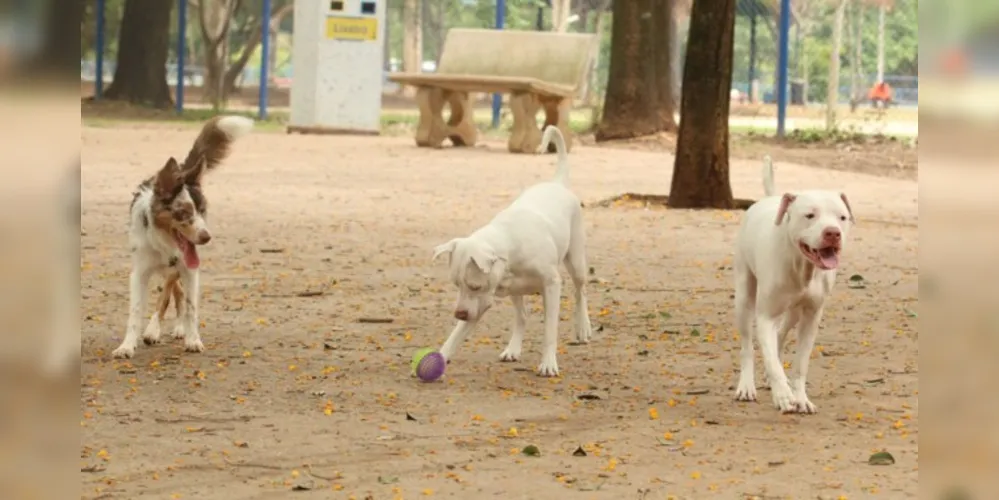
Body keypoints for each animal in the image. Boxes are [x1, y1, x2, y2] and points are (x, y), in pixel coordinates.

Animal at [112, 116, 254, 360]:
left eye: (203, 210)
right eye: (183, 213)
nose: (206, 237)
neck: (164, 244)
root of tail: (181, 170)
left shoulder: (189, 269)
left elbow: (189, 306)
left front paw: (192, 338)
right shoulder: (140, 272)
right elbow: (136, 310)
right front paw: (127, 345)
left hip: (177, 267)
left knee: (172, 291)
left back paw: (171, 328)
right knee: (172, 291)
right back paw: (156, 329)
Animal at [432, 124, 588, 376]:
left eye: (474, 286)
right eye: (456, 285)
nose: (459, 314)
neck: (508, 246)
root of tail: (557, 183)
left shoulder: (552, 285)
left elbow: (550, 330)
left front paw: (548, 363)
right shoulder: (479, 304)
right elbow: (456, 334)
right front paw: (440, 356)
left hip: (576, 262)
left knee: (580, 291)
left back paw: (583, 327)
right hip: (516, 291)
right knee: (522, 316)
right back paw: (513, 349)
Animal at [732, 157, 856, 414]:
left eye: (842, 217)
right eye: (810, 215)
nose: (833, 233)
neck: (802, 266)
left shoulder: (811, 317)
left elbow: (800, 364)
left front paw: (800, 398)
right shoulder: (765, 316)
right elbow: (771, 360)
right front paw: (782, 395)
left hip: (794, 311)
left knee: (780, 334)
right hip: (744, 296)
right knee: (748, 345)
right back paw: (746, 386)